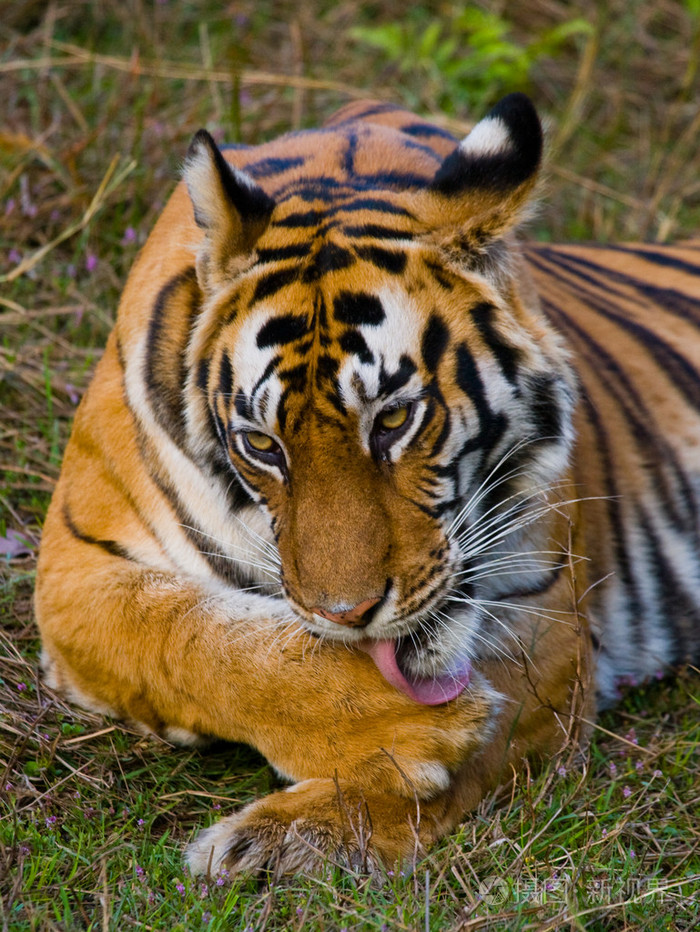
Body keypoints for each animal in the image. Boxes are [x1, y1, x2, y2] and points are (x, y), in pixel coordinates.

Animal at [35, 92, 700, 878]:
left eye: (393, 420)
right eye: (262, 445)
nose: (348, 615)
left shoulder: (549, 627)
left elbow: (472, 751)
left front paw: (283, 835)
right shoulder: (75, 568)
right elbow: (199, 642)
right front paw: (409, 729)